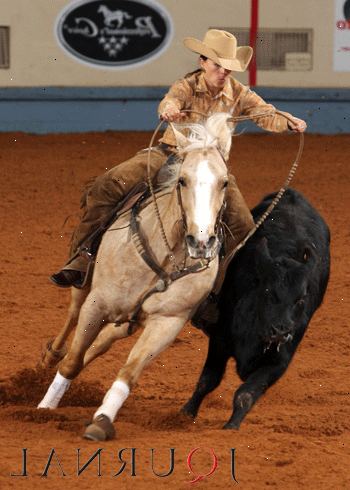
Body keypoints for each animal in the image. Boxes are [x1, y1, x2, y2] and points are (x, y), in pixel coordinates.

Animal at [37, 114, 232, 440]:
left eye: (224, 182)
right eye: (183, 180)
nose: (202, 241)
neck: (166, 253)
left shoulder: (168, 321)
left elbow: (128, 372)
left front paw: (102, 420)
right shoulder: (98, 303)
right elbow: (72, 361)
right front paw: (44, 408)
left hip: (128, 320)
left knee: (102, 342)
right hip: (83, 286)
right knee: (72, 322)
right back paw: (48, 360)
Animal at [183, 188, 330, 428]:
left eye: (300, 300)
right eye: (268, 292)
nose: (280, 330)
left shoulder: (279, 361)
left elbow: (246, 394)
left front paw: (231, 427)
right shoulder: (220, 340)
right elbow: (208, 380)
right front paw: (185, 414)